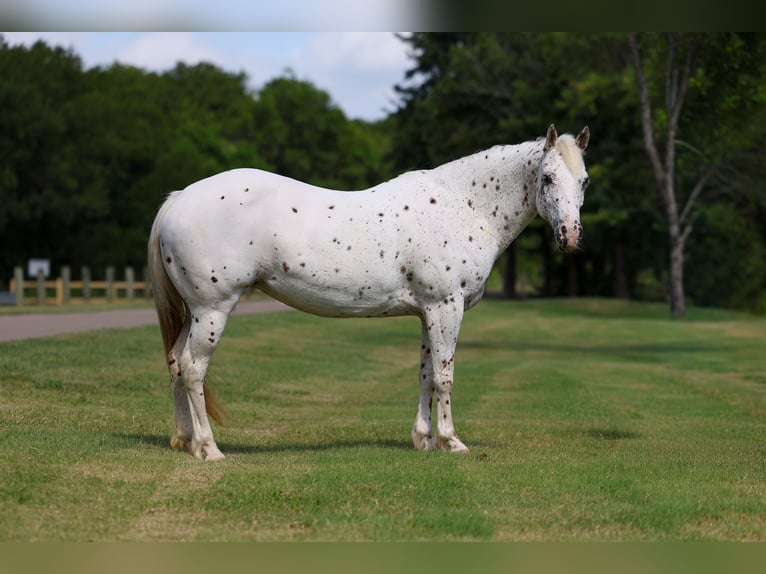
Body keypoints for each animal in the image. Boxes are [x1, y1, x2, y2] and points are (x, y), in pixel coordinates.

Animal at [148, 124, 590, 460]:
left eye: (583, 180)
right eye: (548, 178)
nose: (569, 236)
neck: (463, 205)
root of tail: (180, 199)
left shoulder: (427, 312)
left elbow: (425, 374)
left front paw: (423, 440)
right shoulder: (447, 307)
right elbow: (444, 376)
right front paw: (451, 441)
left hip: (194, 313)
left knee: (174, 362)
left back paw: (184, 440)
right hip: (212, 309)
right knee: (193, 368)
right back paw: (208, 449)